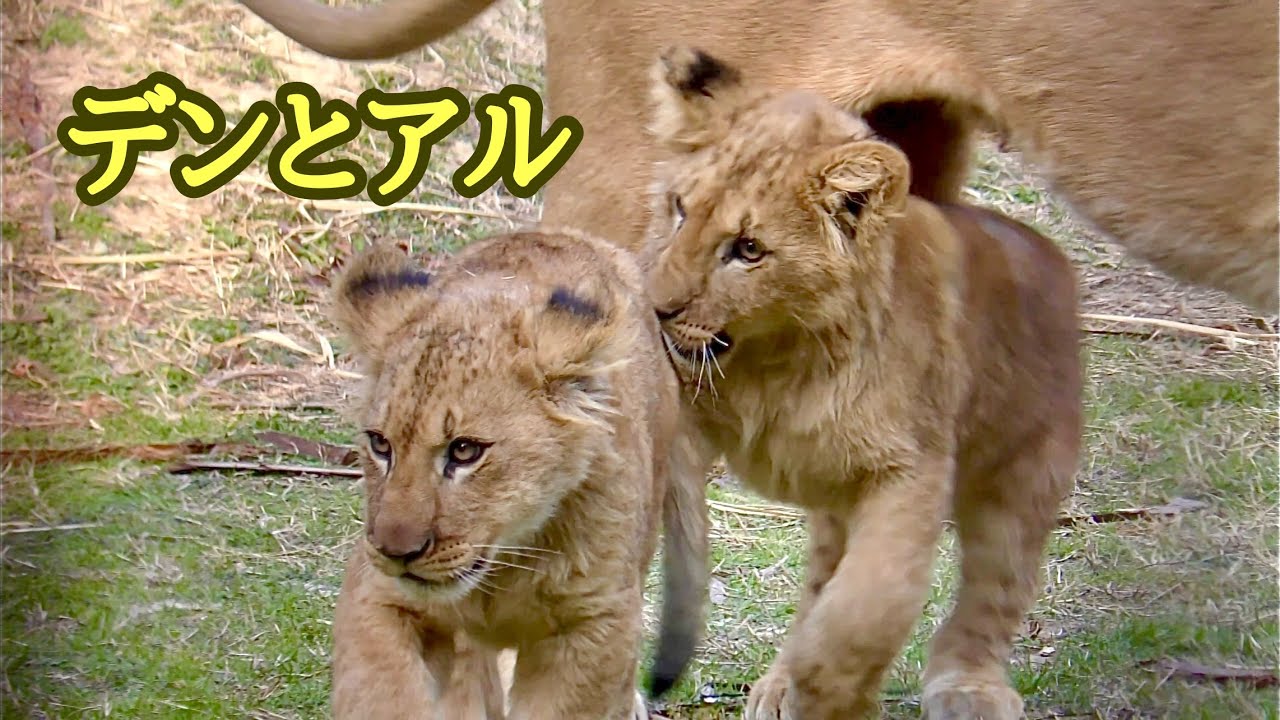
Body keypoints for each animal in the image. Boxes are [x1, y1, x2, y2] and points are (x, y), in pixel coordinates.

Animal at [327, 229, 709, 720]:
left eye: (465, 451)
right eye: (380, 445)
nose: (397, 552)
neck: (502, 565)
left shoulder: (594, 623)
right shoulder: (378, 596)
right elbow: (382, 697)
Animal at [637, 48, 1083, 720]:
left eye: (748, 249)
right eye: (681, 209)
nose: (658, 309)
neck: (773, 362)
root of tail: (1052, 253)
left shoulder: (910, 469)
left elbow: (868, 605)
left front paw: (831, 689)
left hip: (1024, 473)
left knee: (995, 589)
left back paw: (969, 688)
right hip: (836, 505)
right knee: (821, 580)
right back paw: (777, 684)